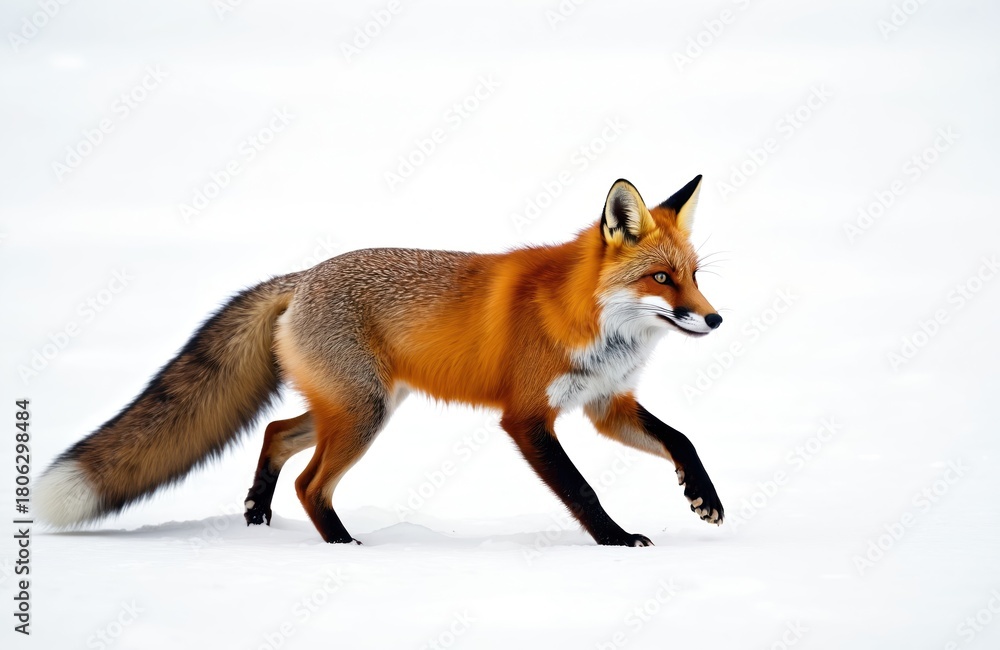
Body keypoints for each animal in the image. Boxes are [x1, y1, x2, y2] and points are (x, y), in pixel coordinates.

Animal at [36, 175, 726, 546]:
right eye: (661, 278)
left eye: (694, 277)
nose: (716, 320)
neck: (586, 317)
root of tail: (304, 277)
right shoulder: (528, 417)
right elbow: (581, 489)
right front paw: (617, 541)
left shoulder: (607, 404)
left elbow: (682, 439)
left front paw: (703, 497)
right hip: (363, 414)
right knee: (310, 483)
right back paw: (344, 546)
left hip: (359, 406)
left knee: (277, 433)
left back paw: (258, 510)